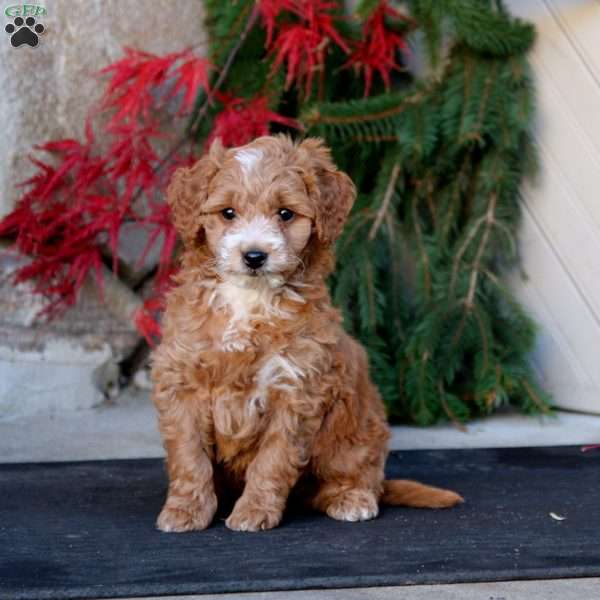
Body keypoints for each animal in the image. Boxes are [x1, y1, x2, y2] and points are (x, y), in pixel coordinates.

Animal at [151, 135, 464, 528]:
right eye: (228, 213)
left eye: (286, 214)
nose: (254, 256)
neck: (249, 299)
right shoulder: (182, 380)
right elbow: (189, 455)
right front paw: (185, 510)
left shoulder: (296, 389)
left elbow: (273, 460)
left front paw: (254, 511)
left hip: (353, 433)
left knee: (361, 474)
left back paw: (352, 498)